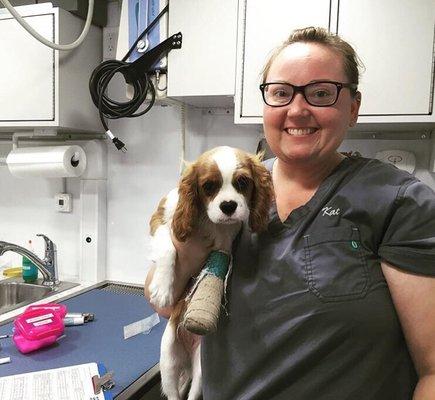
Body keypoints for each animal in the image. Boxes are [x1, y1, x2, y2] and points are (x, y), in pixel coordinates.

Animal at [148, 146, 274, 400]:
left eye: (243, 182)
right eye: (208, 186)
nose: (228, 206)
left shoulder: (225, 244)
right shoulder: (160, 219)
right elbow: (168, 248)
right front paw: (163, 291)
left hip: (199, 369)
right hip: (168, 360)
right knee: (173, 393)